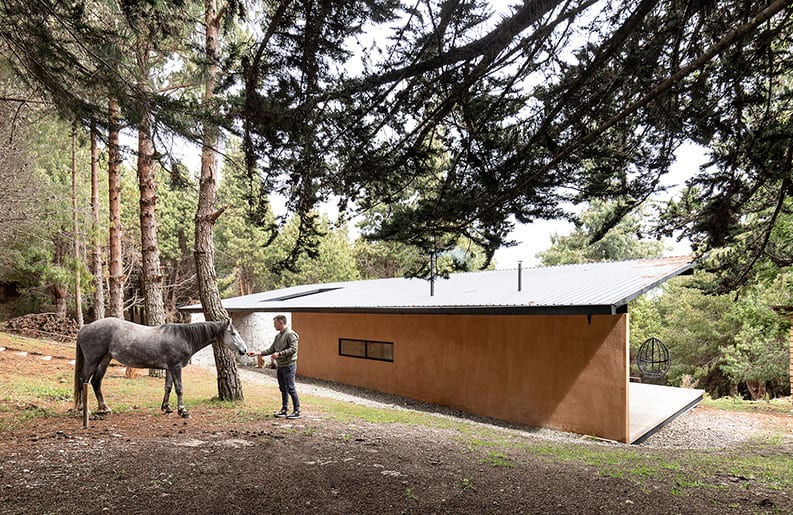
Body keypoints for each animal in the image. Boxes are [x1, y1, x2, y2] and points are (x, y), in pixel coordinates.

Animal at [75, 318, 248, 420]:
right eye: (233, 333)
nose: (244, 350)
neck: (182, 337)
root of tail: (86, 327)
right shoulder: (176, 367)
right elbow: (179, 388)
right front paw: (183, 411)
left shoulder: (169, 368)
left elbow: (168, 387)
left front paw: (167, 408)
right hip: (92, 360)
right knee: (84, 381)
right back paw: (85, 411)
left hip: (104, 360)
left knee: (96, 382)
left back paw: (104, 408)